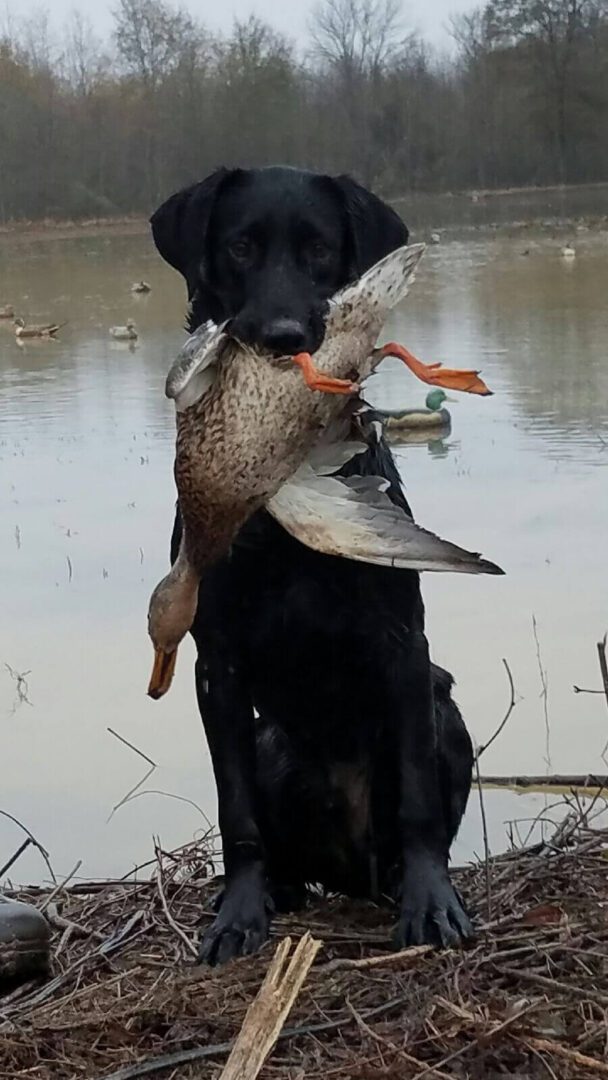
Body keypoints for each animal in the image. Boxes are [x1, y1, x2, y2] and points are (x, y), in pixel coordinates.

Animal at [152, 166, 475, 963]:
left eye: (321, 249)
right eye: (239, 246)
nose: (283, 338)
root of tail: (354, 871)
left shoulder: (404, 644)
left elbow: (419, 799)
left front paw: (433, 905)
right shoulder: (217, 667)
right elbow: (234, 810)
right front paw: (239, 914)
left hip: (442, 702)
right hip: (271, 741)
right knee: (276, 838)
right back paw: (284, 888)